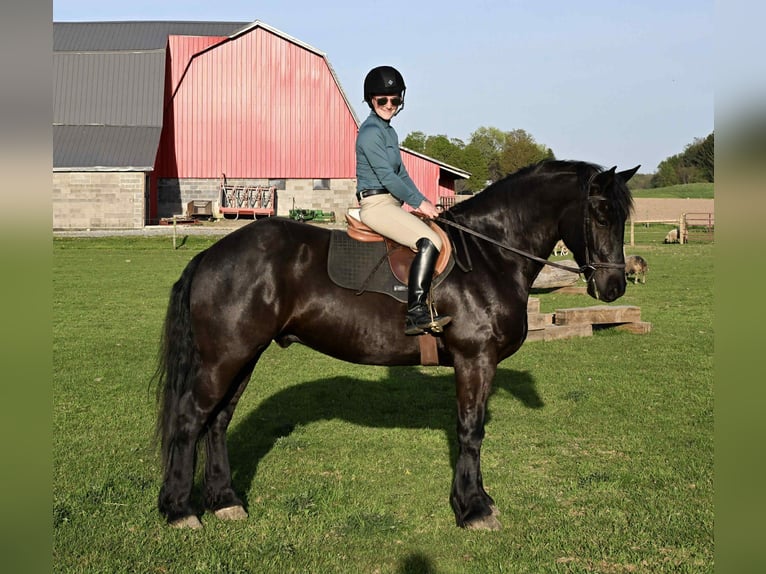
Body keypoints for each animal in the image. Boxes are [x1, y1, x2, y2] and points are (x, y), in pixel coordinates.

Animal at [154, 159, 638, 530]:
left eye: (621, 218)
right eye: (600, 215)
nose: (614, 287)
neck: (489, 255)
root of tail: (211, 255)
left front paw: (476, 501)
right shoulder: (475, 360)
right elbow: (471, 431)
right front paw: (473, 509)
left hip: (244, 355)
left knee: (217, 422)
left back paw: (225, 501)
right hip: (224, 357)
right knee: (191, 419)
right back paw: (180, 510)